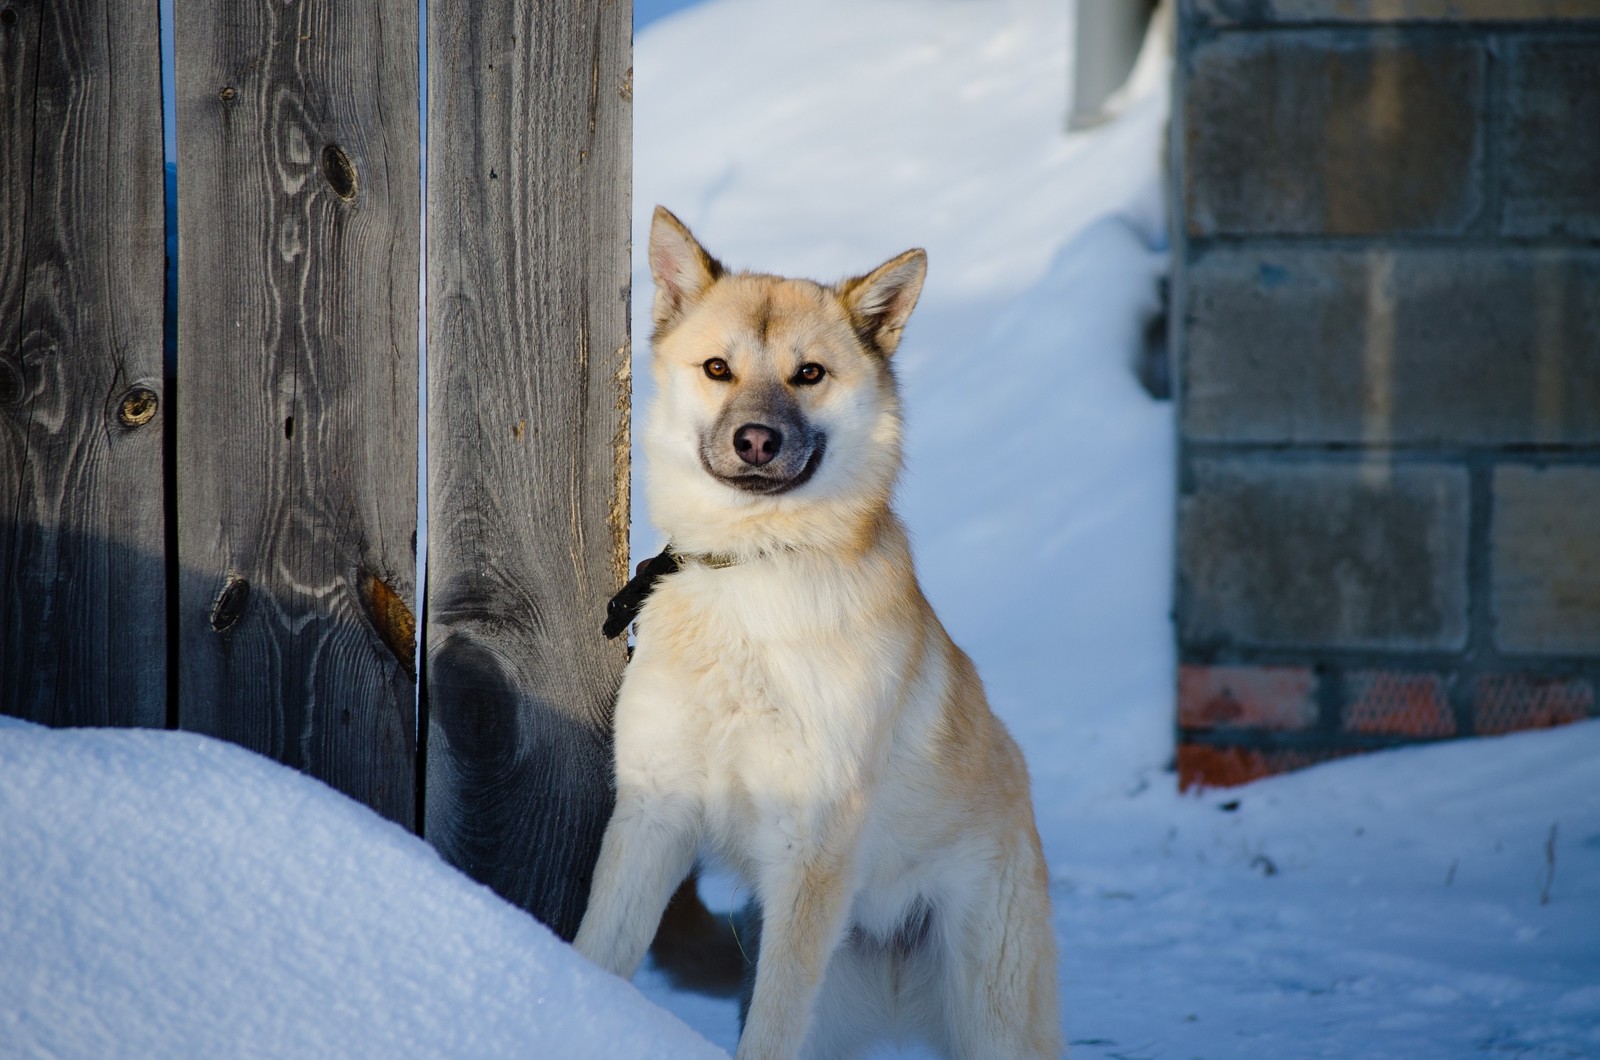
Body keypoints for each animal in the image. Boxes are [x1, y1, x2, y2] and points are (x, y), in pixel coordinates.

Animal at [576, 209, 1062, 1060]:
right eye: (717, 368)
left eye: (809, 375)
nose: (757, 440)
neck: (751, 570)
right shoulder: (653, 813)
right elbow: (599, 952)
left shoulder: (810, 851)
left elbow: (770, 1035)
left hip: (993, 1020)